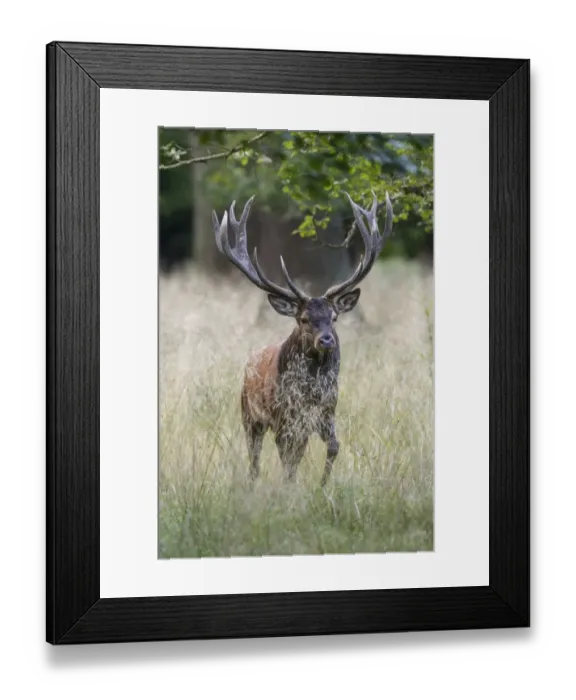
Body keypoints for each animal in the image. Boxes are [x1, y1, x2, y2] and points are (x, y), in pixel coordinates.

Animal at [212, 191, 393, 487]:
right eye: (304, 319)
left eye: (334, 317)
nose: (326, 340)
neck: (310, 391)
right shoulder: (284, 418)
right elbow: (287, 461)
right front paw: (291, 488)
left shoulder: (326, 412)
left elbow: (333, 447)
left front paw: (322, 486)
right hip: (249, 413)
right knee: (255, 457)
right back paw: (253, 483)